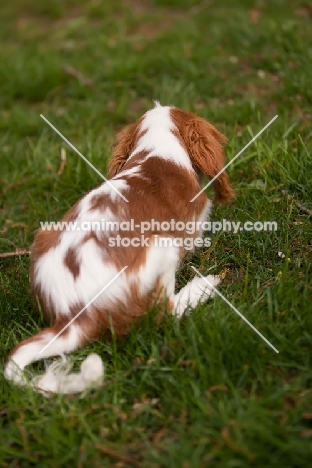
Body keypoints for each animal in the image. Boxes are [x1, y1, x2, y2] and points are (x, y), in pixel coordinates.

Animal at [4, 103, 234, 394]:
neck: (157, 152)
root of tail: (73, 316)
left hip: (44, 233)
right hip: (162, 247)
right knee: (166, 312)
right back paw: (204, 286)